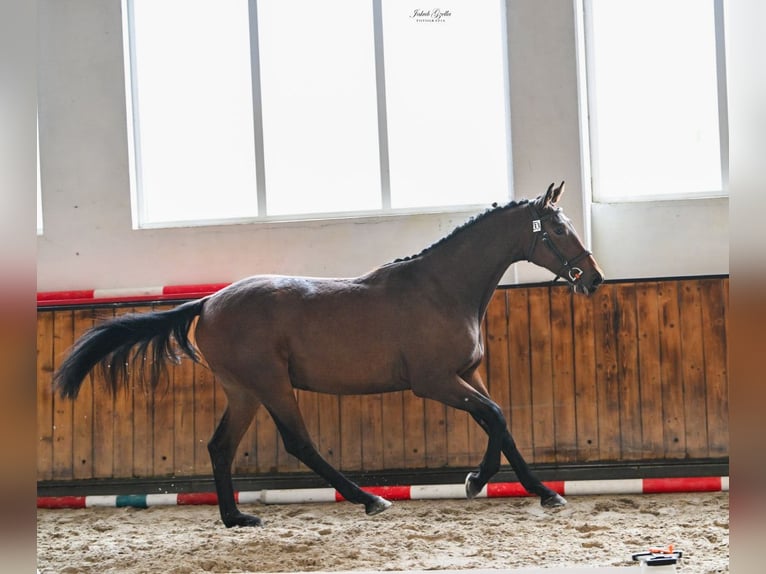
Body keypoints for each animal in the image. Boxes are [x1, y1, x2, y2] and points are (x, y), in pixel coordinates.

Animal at [54, 181, 604, 528]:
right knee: (299, 443)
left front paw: (536, 490)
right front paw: (485, 481)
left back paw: (237, 518)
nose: (594, 279)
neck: (443, 289)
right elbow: (494, 417)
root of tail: (208, 302)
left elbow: (499, 420)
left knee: (220, 447)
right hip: (272, 384)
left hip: (243, 391)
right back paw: (371, 500)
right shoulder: (435, 381)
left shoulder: (467, 374)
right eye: (557, 230)